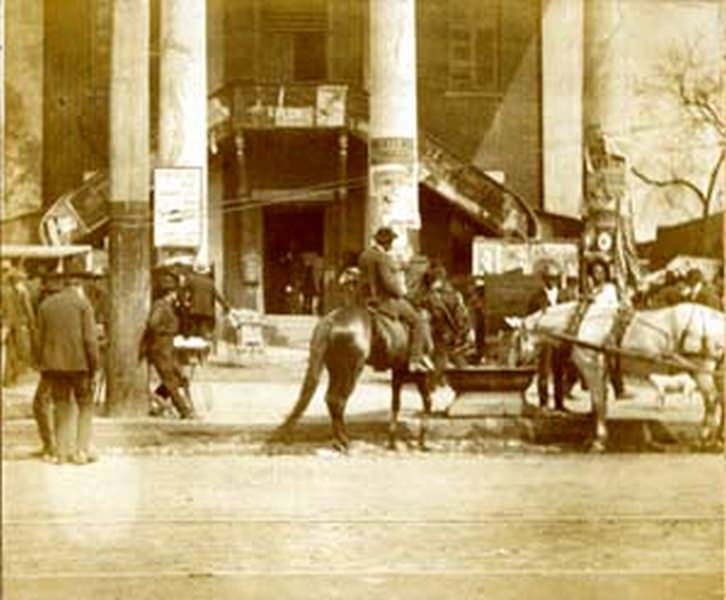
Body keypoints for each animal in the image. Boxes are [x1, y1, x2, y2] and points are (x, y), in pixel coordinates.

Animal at [270, 304, 436, 450]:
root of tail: (332, 319)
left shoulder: (398, 376)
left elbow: (396, 404)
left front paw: (393, 442)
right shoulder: (422, 377)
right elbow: (426, 403)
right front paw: (422, 443)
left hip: (336, 371)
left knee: (331, 399)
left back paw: (340, 441)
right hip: (352, 371)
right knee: (338, 401)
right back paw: (344, 442)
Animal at [510, 302, 724, 452]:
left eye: (516, 338)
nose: (515, 364)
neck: (580, 321)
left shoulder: (592, 368)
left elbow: (599, 401)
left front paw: (598, 440)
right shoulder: (600, 370)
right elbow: (600, 403)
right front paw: (594, 436)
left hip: (701, 368)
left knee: (712, 400)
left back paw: (705, 438)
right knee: (720, 399)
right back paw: (718, 439)